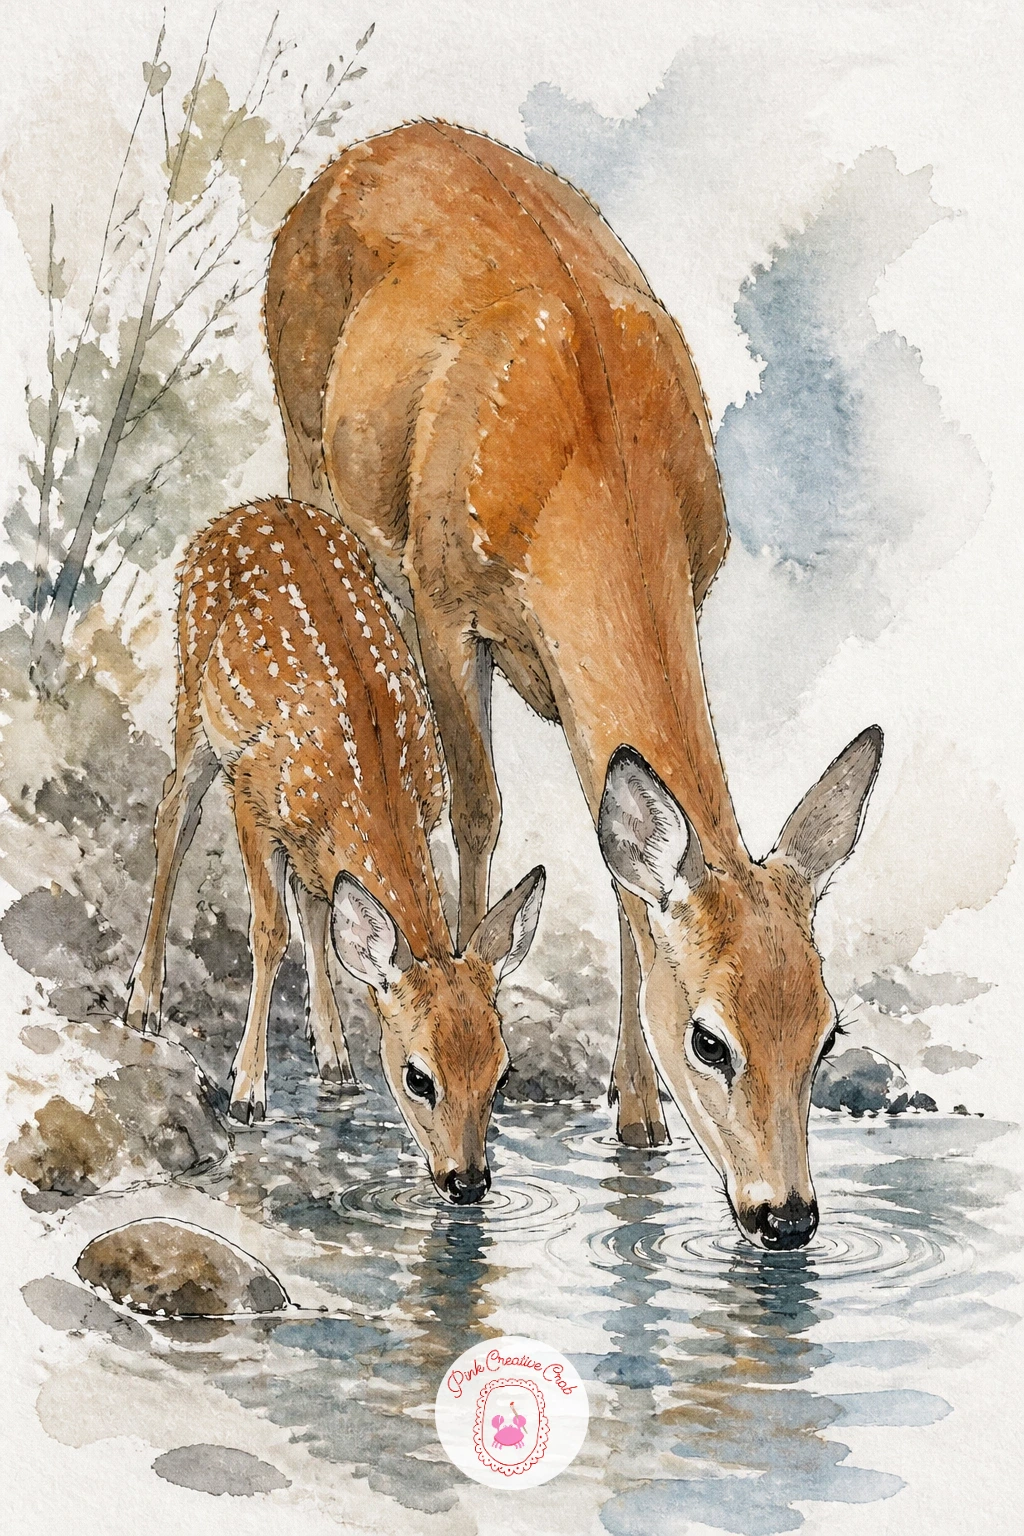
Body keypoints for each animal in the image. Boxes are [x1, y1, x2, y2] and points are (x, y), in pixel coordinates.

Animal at [124, 497, 545, 1205]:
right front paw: (247, 1093)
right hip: (193, 700)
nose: (468, 1182)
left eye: (503, 1074)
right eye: (418, 1077)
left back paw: (336, 1059)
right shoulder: (253, 794)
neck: (371, 781)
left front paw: (330, 1059)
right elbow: (269, 932)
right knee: (172, 816)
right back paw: (143, 1001)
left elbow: (319, 917)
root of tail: (244, 511)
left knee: (315, 900)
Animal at [263, 122, 883, 1249]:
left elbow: (619, 857)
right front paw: (450, 1021)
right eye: (711, 1040)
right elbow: (476, 814)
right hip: (307, 454)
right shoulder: (447, 604)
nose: (787, 1215)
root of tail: (362, 150)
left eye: (825, 1032)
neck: (590, 462)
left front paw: (634, 1116)